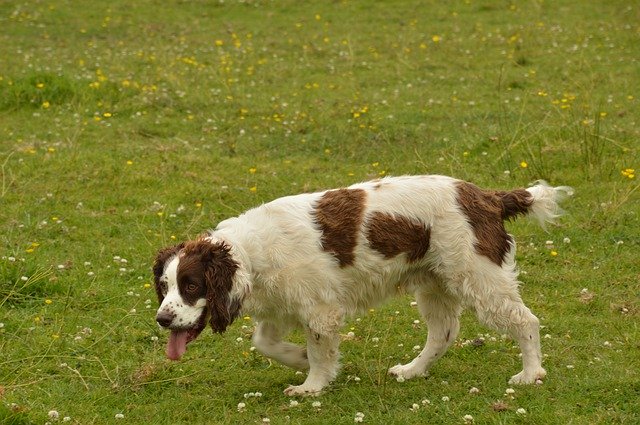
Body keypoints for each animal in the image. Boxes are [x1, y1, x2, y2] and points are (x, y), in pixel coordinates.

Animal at [152, 173, 572, 394]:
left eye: (191, 286)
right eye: (164, 286)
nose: (162, 320)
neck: (251, 252)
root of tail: (489, 197)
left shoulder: (320, 311)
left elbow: (320, 352)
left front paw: (311, 386)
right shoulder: (283, 306)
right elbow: (265, 343)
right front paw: (298, 359)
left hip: (478, 278)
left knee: (526, 321)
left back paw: (531, 374)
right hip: (436, 283)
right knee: (444, 333)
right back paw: (413, 370)